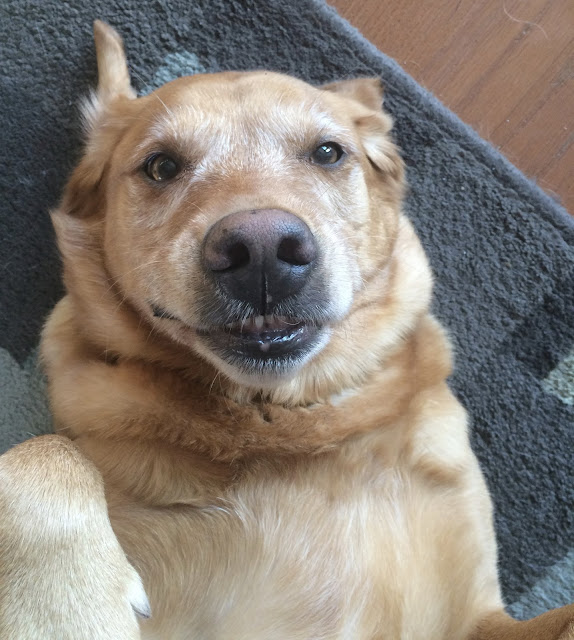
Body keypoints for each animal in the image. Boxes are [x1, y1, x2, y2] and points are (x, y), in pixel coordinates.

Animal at [1, 20, 574, 640]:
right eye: (161, 166)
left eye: (327, 152)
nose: (262, 252)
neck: (280, 414)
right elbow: (44, 447)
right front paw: (60, 604)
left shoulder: (480, 617)